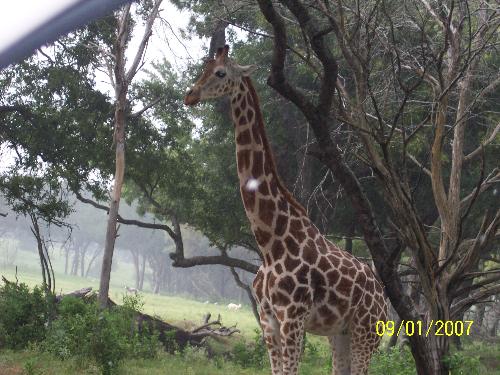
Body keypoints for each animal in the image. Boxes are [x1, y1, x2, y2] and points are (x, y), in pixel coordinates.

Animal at [184, 46, 386, 375]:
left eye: (220, 72)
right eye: (205, 66)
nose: (190, 95)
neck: (270, 241)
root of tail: (383, 298)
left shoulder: (292, 317)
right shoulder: (269, 320)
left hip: (366, 331)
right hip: (339, 333)